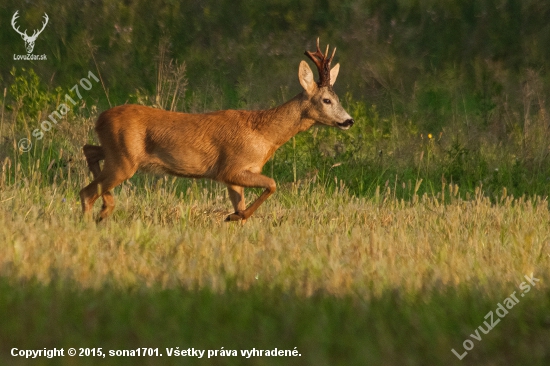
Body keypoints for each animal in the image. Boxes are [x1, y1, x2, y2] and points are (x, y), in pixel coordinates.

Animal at [80, 40, 356, 223]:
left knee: (89, 151)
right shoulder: (231, 168)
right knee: (86, 191)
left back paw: (106, 207)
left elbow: (245, 202)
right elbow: (273, 184)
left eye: (337, 98)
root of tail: (100, 119)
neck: (264, 134)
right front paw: (234, 216)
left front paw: (238, 215)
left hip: (115, 152)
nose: (349, 121)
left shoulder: (235, 176)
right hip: (124, 160)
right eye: (326, 100)